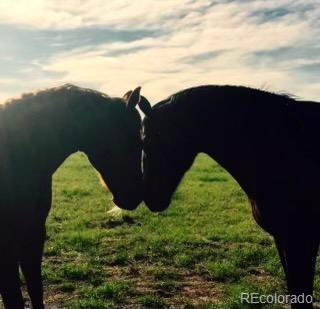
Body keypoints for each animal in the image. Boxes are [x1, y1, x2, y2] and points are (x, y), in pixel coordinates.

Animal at [0, 83, 142, 306]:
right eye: (134, 140)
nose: (135, 196)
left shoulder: (34, 233)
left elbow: (35, 289)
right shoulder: (6, 245)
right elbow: (14, 297)